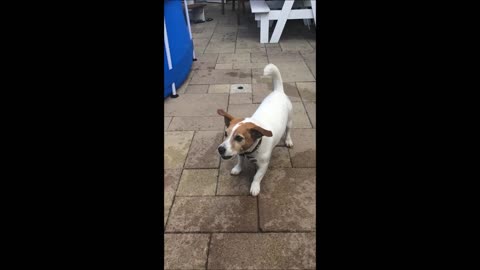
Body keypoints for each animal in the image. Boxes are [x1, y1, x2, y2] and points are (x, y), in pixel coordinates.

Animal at [217, 64, 292, 197]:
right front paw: (237, 168)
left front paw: (255, 187)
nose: (220, 149)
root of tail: (278, 91)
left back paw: (288, 140)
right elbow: (240, 161)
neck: (251, 150)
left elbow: (257, 176)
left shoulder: (264, 165)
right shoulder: (241, 153)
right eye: (226, 134)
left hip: (289, 121)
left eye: (238, 138)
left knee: (288, 130)